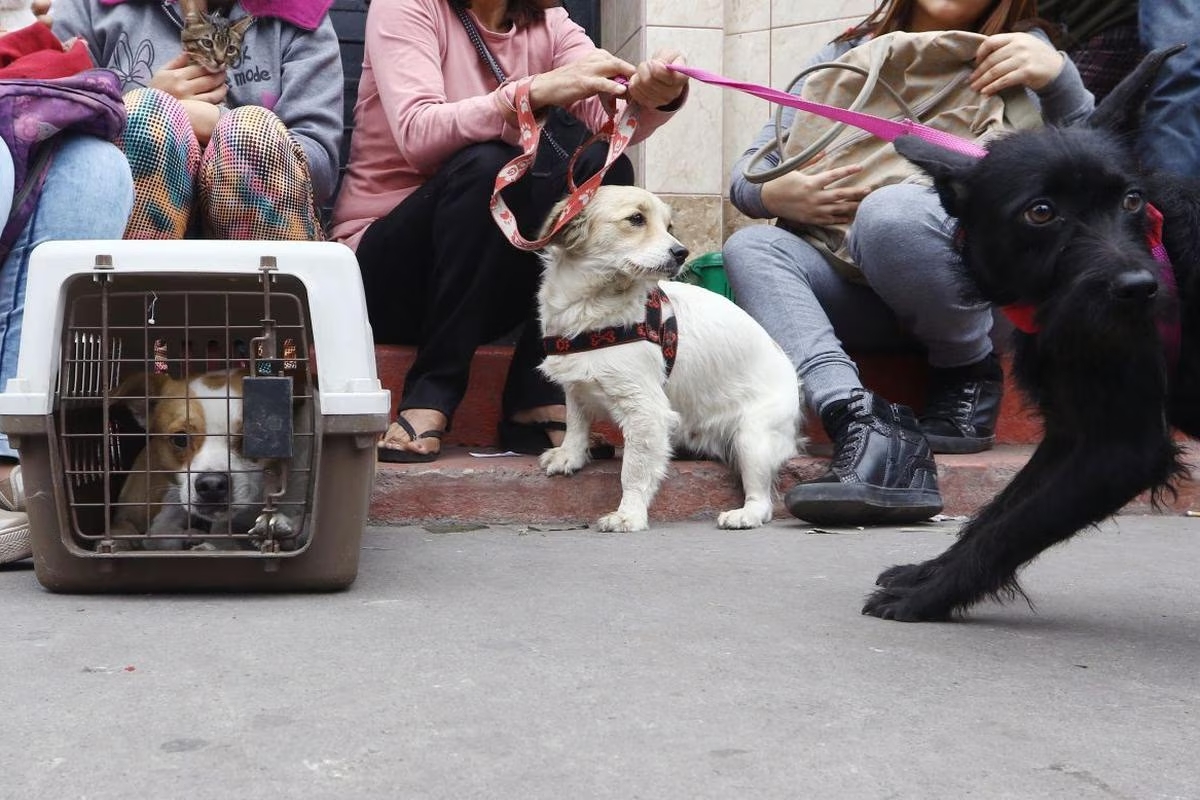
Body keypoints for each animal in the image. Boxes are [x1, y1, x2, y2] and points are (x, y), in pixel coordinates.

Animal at [537, 187, 801, 532]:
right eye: (636, 219)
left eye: (669, 225)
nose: (681, 253)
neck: (592, 307)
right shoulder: (577, 382)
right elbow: (575, 421)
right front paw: (570, 455)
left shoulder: (645, 410)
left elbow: (633, 471)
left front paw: (629, 515)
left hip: (752, 438)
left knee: (764, 502)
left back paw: (745, 514)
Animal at [864, 48, 1200, 623]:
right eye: (1041, 212)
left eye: (1133, 201)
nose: (1140, 290)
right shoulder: (1070, 430)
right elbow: (997, 510)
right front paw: (926, 573)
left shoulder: (1122, 450)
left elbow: (1012, 530)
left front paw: (929, 596)